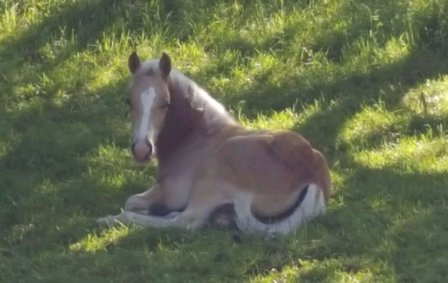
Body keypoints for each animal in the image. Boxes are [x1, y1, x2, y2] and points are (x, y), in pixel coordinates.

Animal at [97, 52, 328, 236]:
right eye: (128, 101)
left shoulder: (172, 193)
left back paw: (112, 219)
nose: (141, 151)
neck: (198, 135)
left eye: (165, 103)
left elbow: (131, 201)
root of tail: (313, 176)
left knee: (186, 222)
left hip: (212, 183)